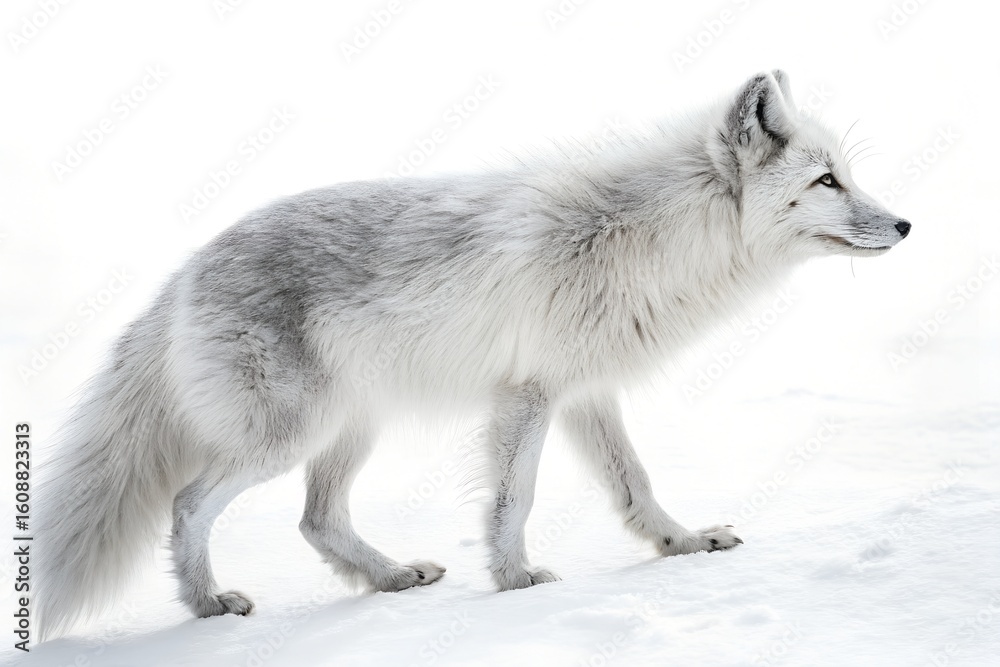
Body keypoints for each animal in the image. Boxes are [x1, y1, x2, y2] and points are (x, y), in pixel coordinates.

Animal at [34, 70, 910, 639]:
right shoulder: (527, 394)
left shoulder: (585, 392)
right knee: (189, 504)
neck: (653, 238)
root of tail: (184, 270)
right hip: (285, 437)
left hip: (352, 430)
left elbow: (636, 485)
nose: (906, 225)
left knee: (317, 519)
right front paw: (516, 580)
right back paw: (208, 607)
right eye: (827, 181)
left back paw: (389, 579)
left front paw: (682, 544)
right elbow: (512, 500)